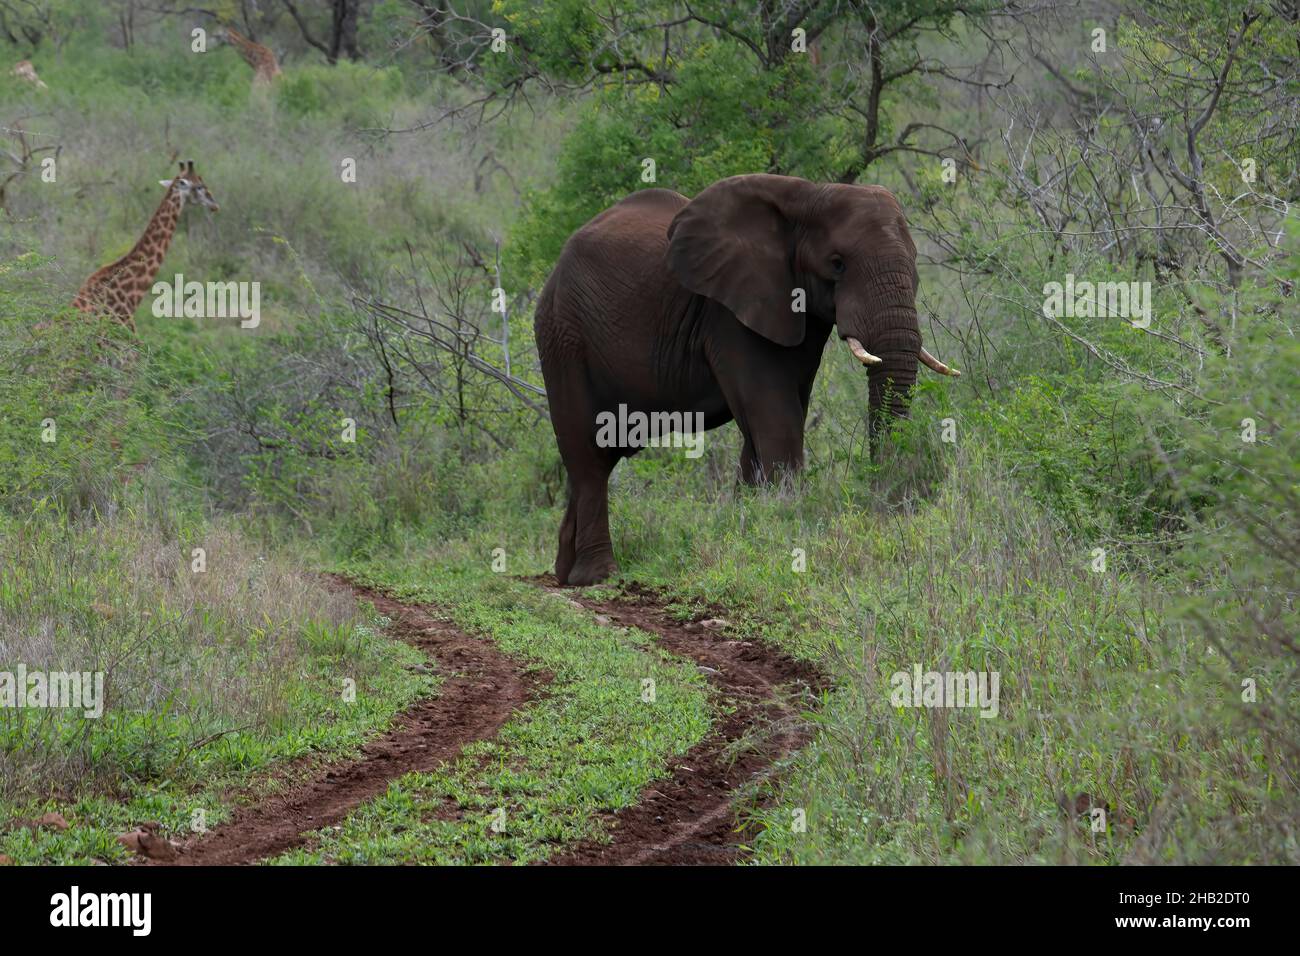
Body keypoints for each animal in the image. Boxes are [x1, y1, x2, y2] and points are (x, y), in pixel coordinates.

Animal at [533, 175, 961, 587]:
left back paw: (565, 573)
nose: (889, 507)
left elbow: (774, 418)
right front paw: (782, 532)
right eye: (837, 264)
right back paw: (597, 575)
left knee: (597, 459)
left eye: (915, 263)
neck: (807, 196)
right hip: (563, 336)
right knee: (587, 455)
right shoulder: (728, 314)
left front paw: (751, 527)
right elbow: (775, 416)